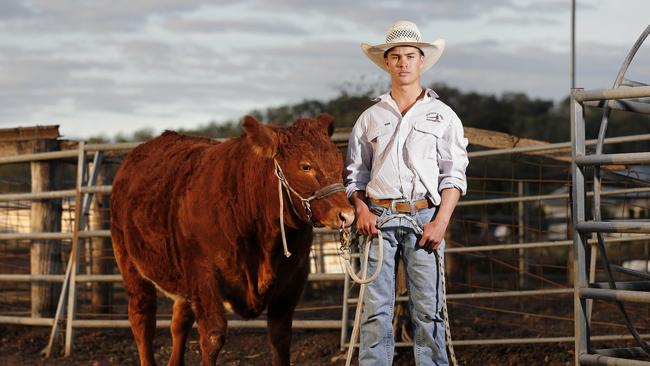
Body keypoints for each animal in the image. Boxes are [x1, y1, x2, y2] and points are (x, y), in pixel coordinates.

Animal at [111, 116, 354, 366]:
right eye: (305, 166)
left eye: (340, 162)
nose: (346, 214)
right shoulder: (204, 275)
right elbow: (213, 336)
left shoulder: (295, 276)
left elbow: (280, 335)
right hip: (129, 263)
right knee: (142, 319)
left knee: (179, 321)